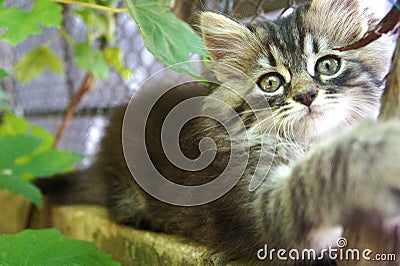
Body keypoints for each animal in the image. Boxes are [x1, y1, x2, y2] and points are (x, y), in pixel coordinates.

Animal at [39, 0, 400, 264]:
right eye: (271, 83)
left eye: (327, 65)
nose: (307, 95)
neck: (310, 142)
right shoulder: (259, 208)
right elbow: (318, 173)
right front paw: (379, 156)